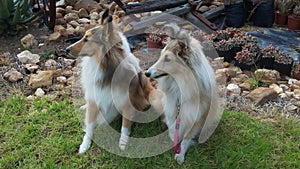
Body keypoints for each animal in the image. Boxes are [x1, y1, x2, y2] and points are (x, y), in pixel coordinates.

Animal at [65, 9, 159, 154]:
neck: (105, 67)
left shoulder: (126, 102)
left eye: (87, 39)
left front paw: (122, 144)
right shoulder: (94, 99)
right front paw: (84, 145)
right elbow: (90, 125)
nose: (66, 49)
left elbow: (124, 126)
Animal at [145, 23, 223, 164]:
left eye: (168, 59)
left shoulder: (197, 115)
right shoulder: (171, 108)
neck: (181, 84)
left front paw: (180, 153)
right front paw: (173, 141)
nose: (146, 73)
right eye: (161, 56)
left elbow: (186, 138)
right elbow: (173, 129)